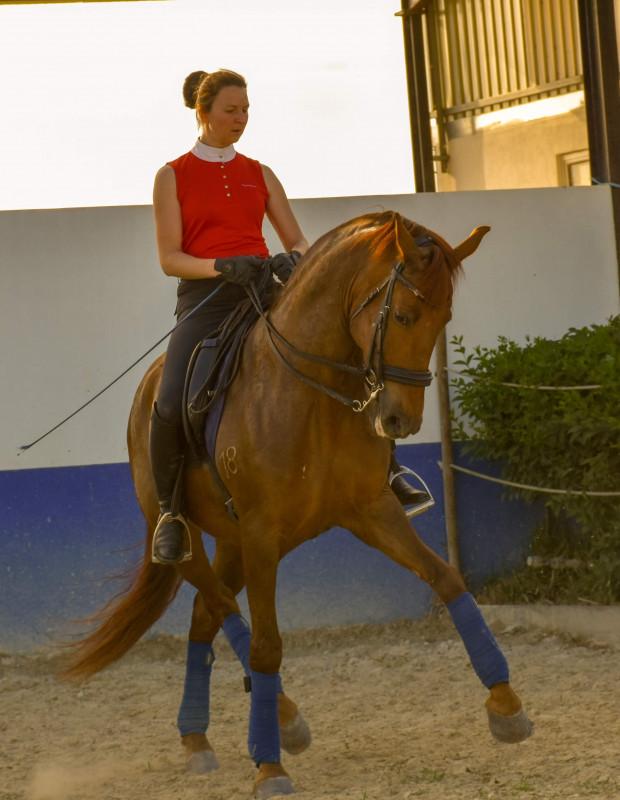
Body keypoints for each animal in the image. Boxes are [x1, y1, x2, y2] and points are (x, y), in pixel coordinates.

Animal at [61, 212, 532, 800]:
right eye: (402, 315)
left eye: (443, 318)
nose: (400, 420)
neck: (312, 392)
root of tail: (146, 387)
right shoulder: (264, 532)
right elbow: (266, 646)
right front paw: (269, 767)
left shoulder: (371, 511)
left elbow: (447, 579)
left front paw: (506, 704)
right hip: (192, 536)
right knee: (222, 608)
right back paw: (271, 723)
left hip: (235, 543)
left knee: (205, 616)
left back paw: (202, 738)